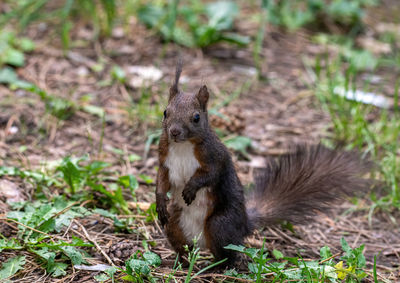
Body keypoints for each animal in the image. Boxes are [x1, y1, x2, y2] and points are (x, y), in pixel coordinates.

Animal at [155, 62, 370, 268]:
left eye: (196, 117)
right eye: (165, 112)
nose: (174, 132)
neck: (182, 146)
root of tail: (244, 224)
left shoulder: (215, 157)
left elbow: (210, 175)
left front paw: (191, 188)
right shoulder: (165, 158)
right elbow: (162, 180)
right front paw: (160, 201)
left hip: (220, 224)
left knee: (227, 254)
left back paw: (216, 266)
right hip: (175, 223)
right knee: (182, 244)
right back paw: (179, 261)